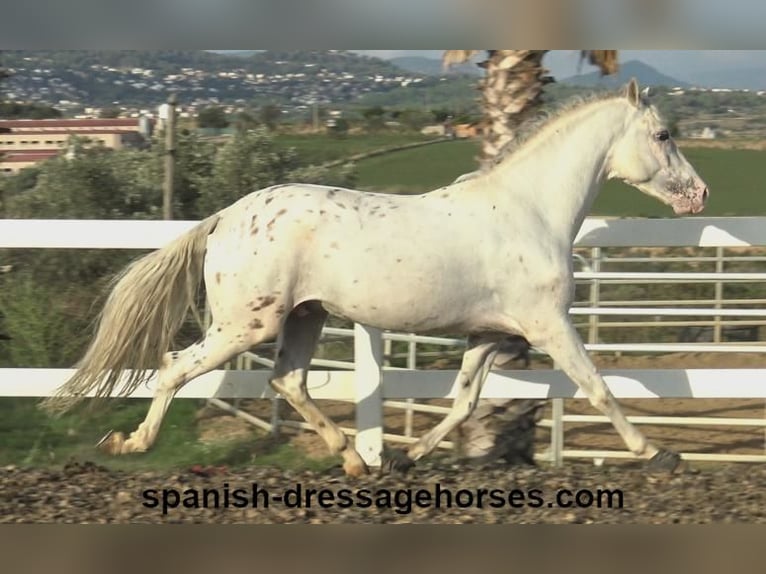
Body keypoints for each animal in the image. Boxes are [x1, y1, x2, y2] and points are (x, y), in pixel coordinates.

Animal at [45, 80, 712, 476]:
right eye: (663, 134)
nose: (700, 194)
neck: (530, 212)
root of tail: (225, 218)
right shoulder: (549, 327)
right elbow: (597, 386)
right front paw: (658, 452)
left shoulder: (489, 336)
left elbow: (463, 402)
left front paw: (409, 455)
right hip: (245, 325)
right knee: (174, 367)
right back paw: (130, 444)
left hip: (304, 317)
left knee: (288, 382)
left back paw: (356, 462)